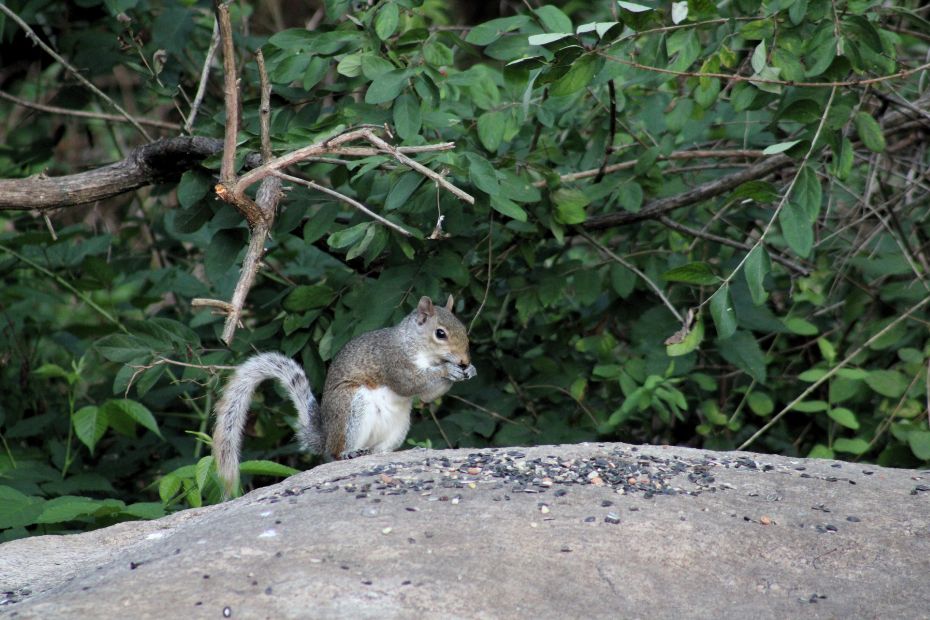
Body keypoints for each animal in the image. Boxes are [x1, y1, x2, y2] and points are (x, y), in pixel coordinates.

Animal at [213, 294, 474, 494]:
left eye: (464, 330)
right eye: (440, 334)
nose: (464, 361)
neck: (417, 346)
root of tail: (326, 437)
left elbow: (428, 396)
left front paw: (468, 371)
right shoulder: (393, 361)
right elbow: (410, 384)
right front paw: (449, 370)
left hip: (398, 426)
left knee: (377, 451)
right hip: (350, 407)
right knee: (336, 452)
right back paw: (349, 452)